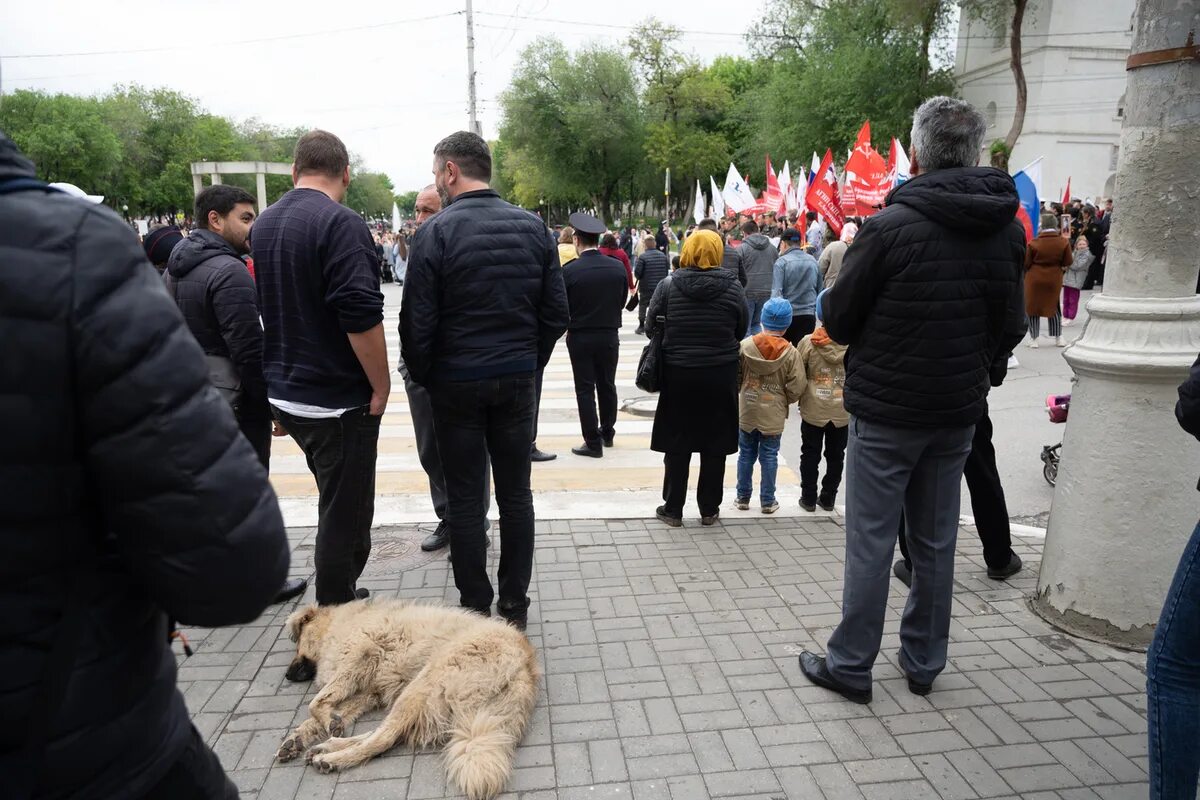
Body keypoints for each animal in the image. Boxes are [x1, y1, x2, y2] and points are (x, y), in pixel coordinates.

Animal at [276, 599, 540, 800]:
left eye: (297, 645)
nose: (287, 675)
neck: (339, 623)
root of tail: (525, 668)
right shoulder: (369, 692)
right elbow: (322, 713)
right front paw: (296, 739)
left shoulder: (360, 656)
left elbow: (315, 703)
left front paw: (327, 722)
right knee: (385, 732)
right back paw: (328, 746)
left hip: (423, 683)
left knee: (385, 737)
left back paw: (332, 758)